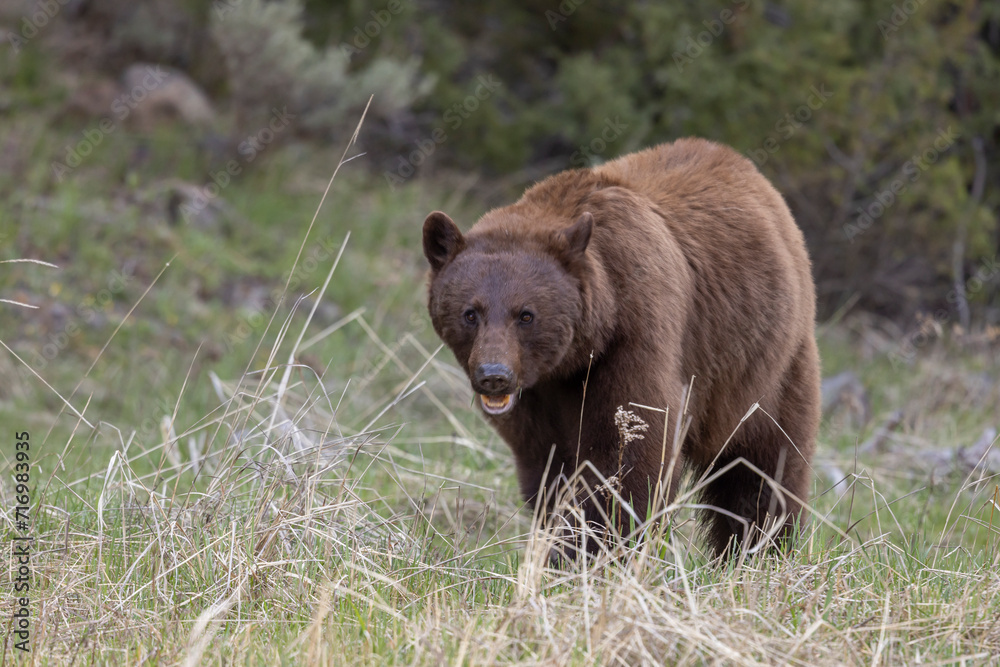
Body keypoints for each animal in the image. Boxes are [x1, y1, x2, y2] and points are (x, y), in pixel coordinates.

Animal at [422, 138, 820, 556]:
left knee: (765, 466)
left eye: (526, 315)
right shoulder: (537, 398)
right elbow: (548, 468)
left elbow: (629, 456)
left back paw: (760, 548)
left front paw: (596, 547)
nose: (494, 376)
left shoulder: (634, 338)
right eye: (470, 313)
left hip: (766, 368)